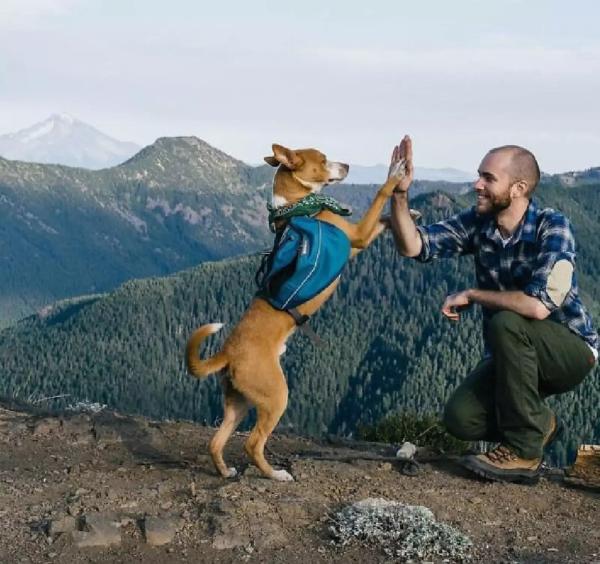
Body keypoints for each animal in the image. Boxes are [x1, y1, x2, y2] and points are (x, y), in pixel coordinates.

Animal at [188, 138, 412, 480]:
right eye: (322, 159)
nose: (348, 165)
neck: (301, 206)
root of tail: (227, 352)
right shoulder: (358, 236)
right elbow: (381, 196)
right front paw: (395, 173)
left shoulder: (359, 238)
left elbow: (385, 218)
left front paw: (411, 211)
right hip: (276, 397)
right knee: (252, 443)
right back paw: (276, 475)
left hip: (238, 402)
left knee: (216, 441)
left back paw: (226, 472)